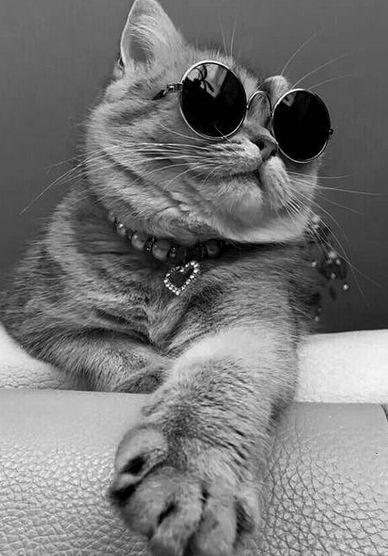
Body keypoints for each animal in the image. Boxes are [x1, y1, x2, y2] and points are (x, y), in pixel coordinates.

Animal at [0, 0, 324, 552]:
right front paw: (151, 372)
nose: (268, 143)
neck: (174, 257)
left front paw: (189, 472)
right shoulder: (40, 317)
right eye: (214, 99)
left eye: (290, 127)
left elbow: (211, 389)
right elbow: (107, 345)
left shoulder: (251, 327)